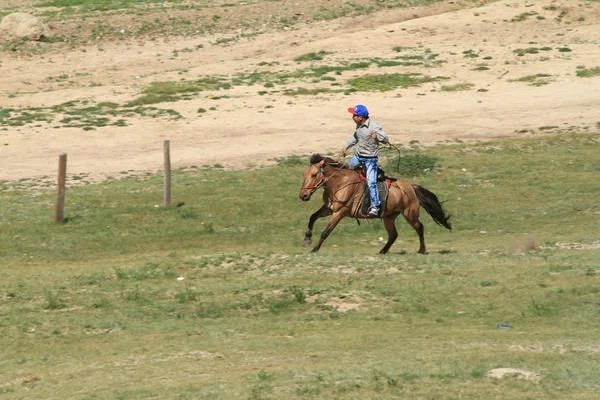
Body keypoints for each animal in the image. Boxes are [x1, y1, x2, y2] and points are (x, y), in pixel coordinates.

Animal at [298, 153, 452, 253]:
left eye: (314, 175)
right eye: (304, 175)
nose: (303, 195)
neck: (341, 183)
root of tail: (411, 187)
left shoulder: (339, 212)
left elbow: (326, 232)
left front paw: (315, 248)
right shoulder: (328, 209)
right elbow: (312, 217)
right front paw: (307, 240)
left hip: (410, 214)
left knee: (419, 228)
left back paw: (422, 249)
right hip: (389, 217)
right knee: (393, 235)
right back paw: (382, 251)